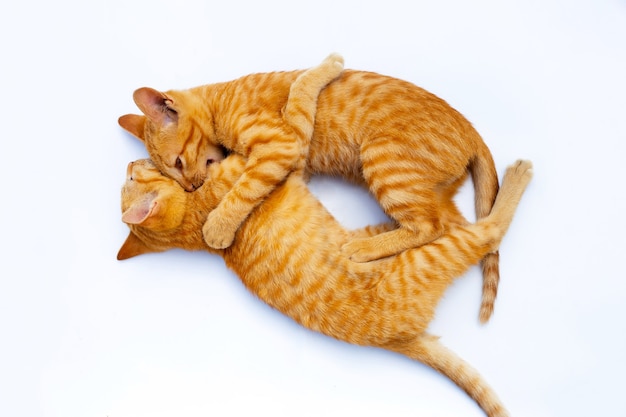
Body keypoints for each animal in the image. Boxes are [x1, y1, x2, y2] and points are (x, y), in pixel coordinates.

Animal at [117, 53, 500, 320]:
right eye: (171, 174)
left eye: (178, 163)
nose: (191, 187)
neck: (218, 100)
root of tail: (471, 130)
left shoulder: (282, 146)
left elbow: (243, 189)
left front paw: (219, 226)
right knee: (452, 224)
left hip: (382, 160)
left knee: (429, 226)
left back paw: (363, 248)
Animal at [118, 154, 532, 414]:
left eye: (129, 178)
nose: (129, 163)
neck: (191, 222)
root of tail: (397, 338)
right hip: (435, 254)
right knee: (482, 230)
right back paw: (515, 179)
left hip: (368, 232)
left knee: (435, 220)